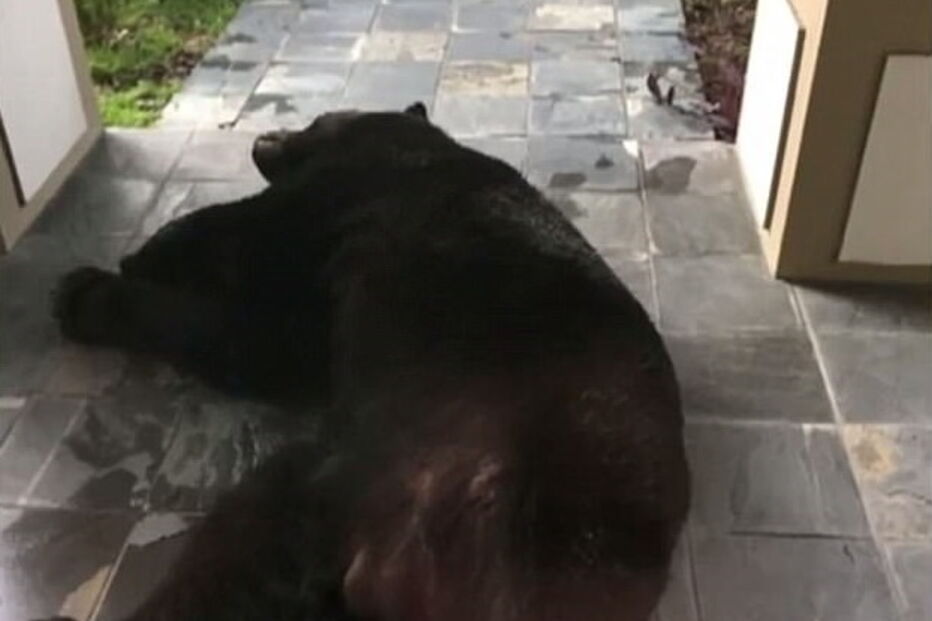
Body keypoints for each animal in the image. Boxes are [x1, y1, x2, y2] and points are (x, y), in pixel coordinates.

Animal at [49, 102, 690, 621]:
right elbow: (273, 344)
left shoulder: (332, 198)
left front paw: (116, 275)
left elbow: (237, 251)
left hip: (360, 487)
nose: (267, 135)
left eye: (315, 117)